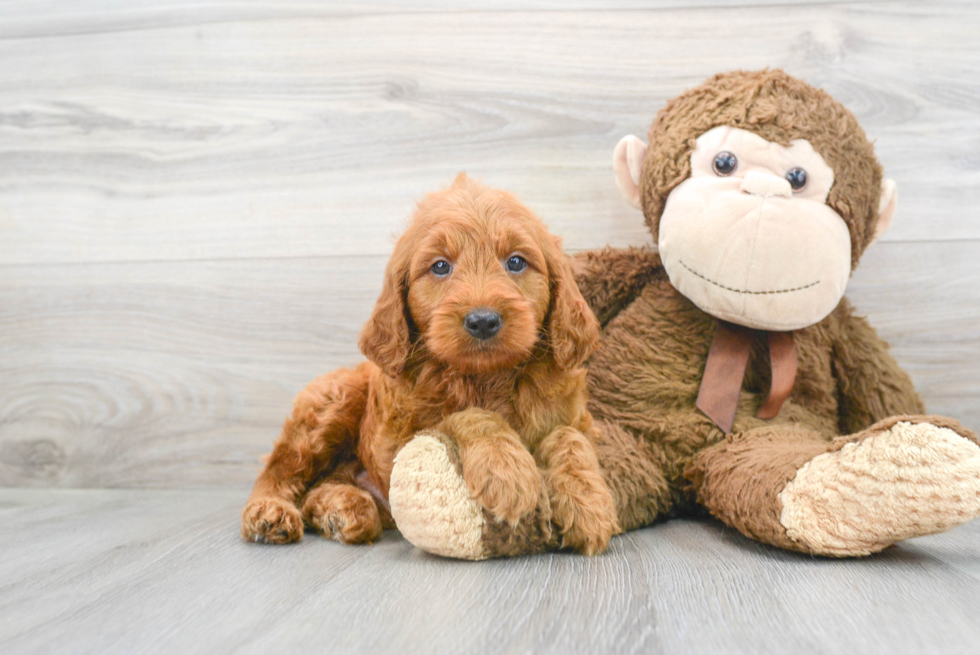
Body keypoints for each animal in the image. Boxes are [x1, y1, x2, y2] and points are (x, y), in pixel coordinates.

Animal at [240, 173, 616, 552]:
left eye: (516, 262)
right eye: (440, 266)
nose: (483, 321)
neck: (485, 378)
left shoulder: (578, 417)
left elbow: (569, 436)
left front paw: (589, 502)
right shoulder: (400, 439)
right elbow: (468, 415)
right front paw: (505, 468)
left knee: (319, 489)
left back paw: (343, 510)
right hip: (332, 401)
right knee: (280, 468)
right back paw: (269, 511)